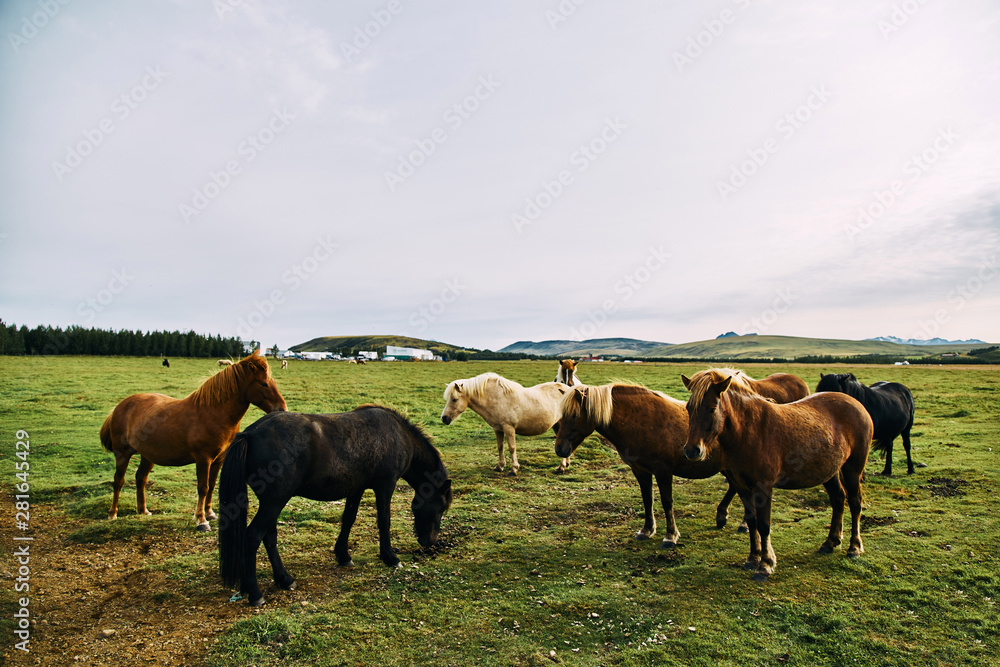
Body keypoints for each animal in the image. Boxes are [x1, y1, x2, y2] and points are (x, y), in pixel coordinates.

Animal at [99, 351, 287, 531]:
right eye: (263, 383)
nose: (282, 409)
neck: (213, 413)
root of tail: (119, 407)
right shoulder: (203, 459)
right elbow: (203, 488)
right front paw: (201, 520)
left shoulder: (219, 459)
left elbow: (212, 485)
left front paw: (210, 513)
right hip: (122, 454)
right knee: (118, 481)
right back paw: (112, 514)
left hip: (148, 456)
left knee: (140, 478)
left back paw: (143, 510)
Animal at [218, 406, 453, 606]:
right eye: (441, 507)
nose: (430, 541)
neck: (398, 435)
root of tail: (250, 434)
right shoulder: (385, 486)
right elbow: (384, 521)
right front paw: (390, 557)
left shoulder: (357, 488)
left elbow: (348, 519)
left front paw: (343, 555)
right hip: (274, 502)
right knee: (253, 536)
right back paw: (255, 593)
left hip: (272, 503)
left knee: (269, 537)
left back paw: (283, 579)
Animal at [441, 372, 571, 475]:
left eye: (454, 399)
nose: (444, 418)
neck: (497, 398)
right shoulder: (498, 429)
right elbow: (500, 447)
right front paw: (500, 466)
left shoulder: (509, 428)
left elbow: (512, 448)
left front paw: (514, 469)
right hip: (556, 425)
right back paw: (566, 463)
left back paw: (561, 467)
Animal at [554, 383, 748, 547]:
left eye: (574, 415)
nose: (559, 449)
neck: (641, 422)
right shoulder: (640, 470)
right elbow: (647, 499)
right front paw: (647, 529)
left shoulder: (663, 471)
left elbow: (667, 501)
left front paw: (670, 535)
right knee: (735, 487)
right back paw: (722, 516)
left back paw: (742, 523)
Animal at [682, 369, 875, 581]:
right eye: (689, 408)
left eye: (712, 408)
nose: (692, 450)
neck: (750, 431)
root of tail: (857, 404)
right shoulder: (741, 486)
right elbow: (751, 521)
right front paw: (752, 558)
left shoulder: (764, 487)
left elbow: (764, 525)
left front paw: (765, 564)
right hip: (829, 472)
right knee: (838, 500)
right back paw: (830, 542)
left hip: (852, 469)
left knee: (855, 503)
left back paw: (854, 547)